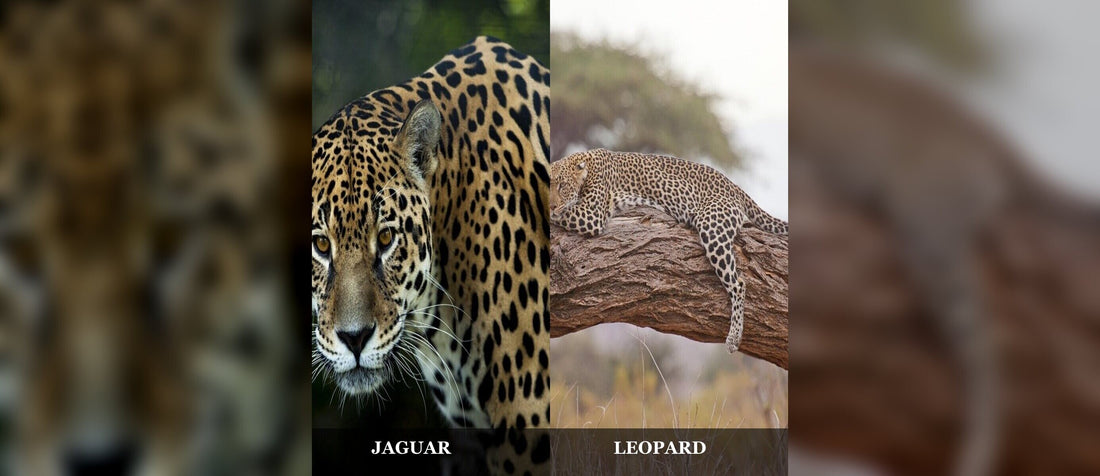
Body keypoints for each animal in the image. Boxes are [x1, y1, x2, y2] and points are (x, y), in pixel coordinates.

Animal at [549, 148, 787, 354]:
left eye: (561, 186)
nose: (552, 205)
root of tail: (734, 186)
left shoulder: (592, 215)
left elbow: (563, 213)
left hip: (712, 227)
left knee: (738, 282)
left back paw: (734, 338)